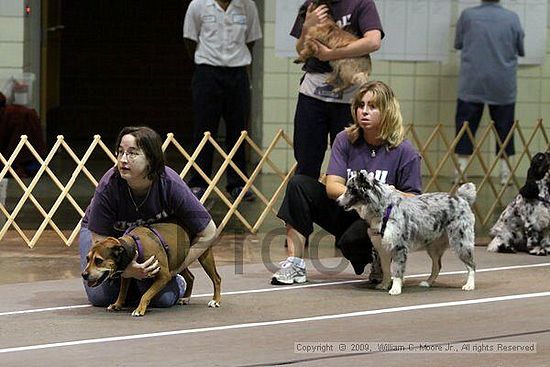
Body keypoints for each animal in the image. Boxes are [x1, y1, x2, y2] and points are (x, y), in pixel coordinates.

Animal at [81, 223, 221, 318]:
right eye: (87, 259)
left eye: (98, 260)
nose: (84, 274)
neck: (135, 246)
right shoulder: (126, 274)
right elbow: (122, 292)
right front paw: (117, 304)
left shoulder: (164, 276)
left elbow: (146, 295)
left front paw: (139, 309)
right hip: (179, 260)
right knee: (190, 277)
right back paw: (186, 298)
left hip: (203, 254)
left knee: (216, 279)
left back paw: (216, 300)